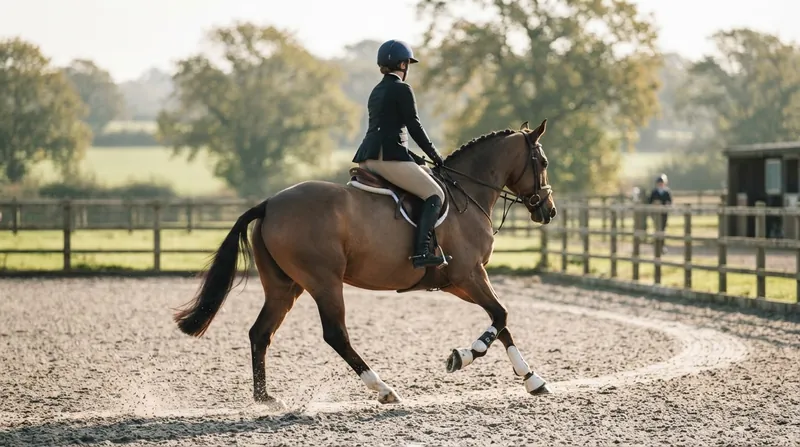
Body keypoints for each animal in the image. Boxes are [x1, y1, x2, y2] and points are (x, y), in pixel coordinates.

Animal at [172, 119, 557, 404]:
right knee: (335, 335)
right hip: (324, 282)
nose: (548, 211)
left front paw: (532, 379)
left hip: (285, 286)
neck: (468, 193)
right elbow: (500, 315)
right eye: (543, 162)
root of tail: (269, 204)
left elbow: (501, 320)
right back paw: (383, 389)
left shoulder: (457, 281)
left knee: (260, 332)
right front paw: (462, 356)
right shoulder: (470, 274)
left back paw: (265, 399)